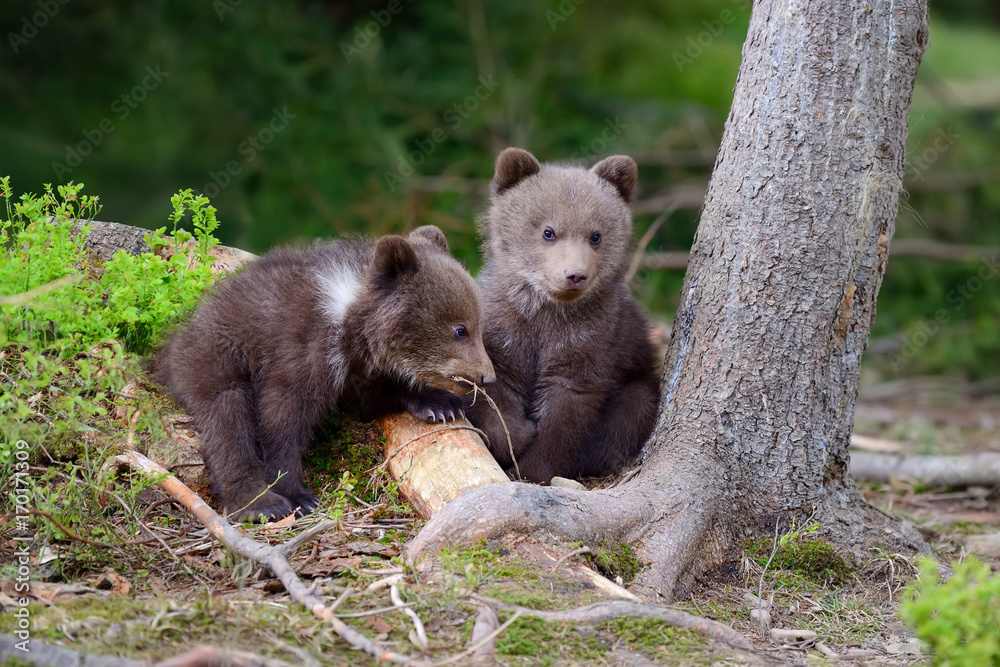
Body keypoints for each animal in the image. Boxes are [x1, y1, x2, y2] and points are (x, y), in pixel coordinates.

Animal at [155, 225, 496, 522]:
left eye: (479, 325)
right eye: (460, 329)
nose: (487, 377)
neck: (347, 324)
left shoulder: (356, 371)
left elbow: (373, 399)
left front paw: (439, 404)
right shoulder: (301, 351)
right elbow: (282, 419)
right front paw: (298, 495)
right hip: (215, 356)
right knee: (227, 419)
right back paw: (259, 503)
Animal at [466, 148, 661, 484]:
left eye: (596, 235)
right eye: (548, 231)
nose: (575, 275)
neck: (547, 312)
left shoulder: (592, 339)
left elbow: (567, 411)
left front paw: (532, 468)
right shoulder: (503, 329)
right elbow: (495, 388)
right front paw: (517, 435)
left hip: (637, 380)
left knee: (631, 412)